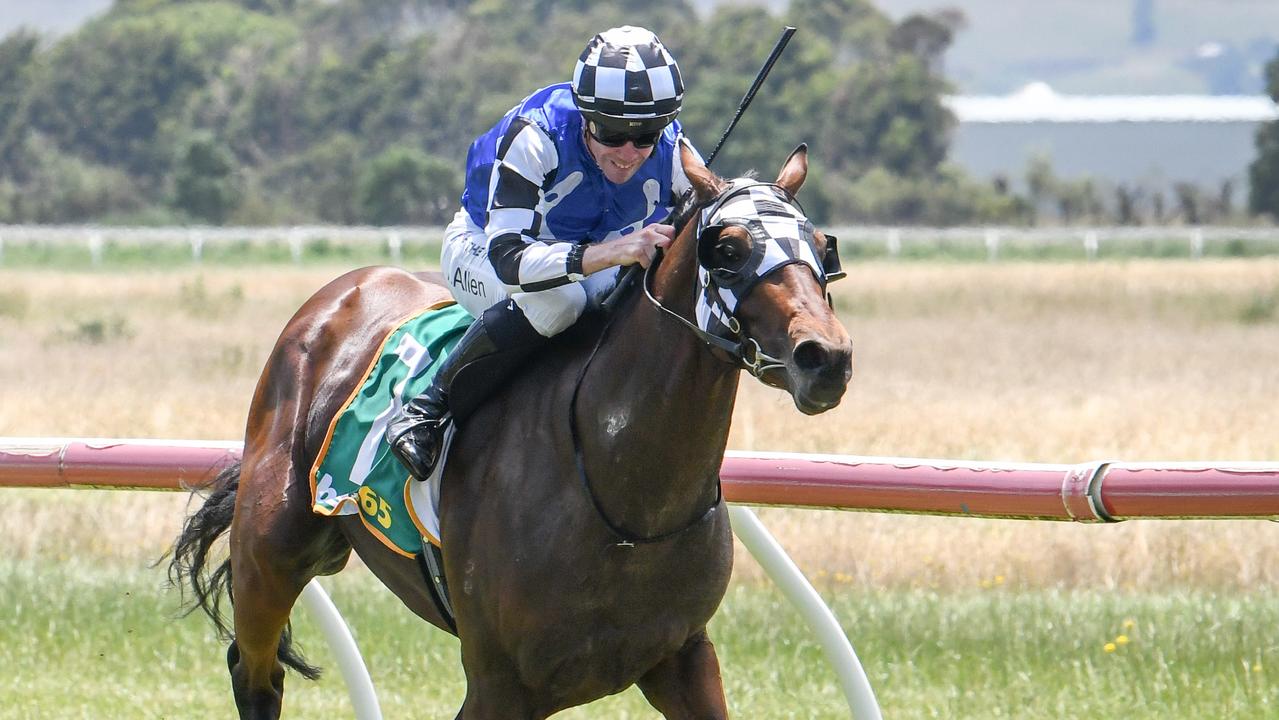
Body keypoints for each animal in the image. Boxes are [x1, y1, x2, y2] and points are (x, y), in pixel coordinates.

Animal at [168, 141, 853, 719]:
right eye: (729, 250)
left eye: (822, 247)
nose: (826, 357)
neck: (626, 500)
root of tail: (340, 292)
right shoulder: (501, 685)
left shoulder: (680, 656)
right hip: (269, 554)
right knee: (254, 672)